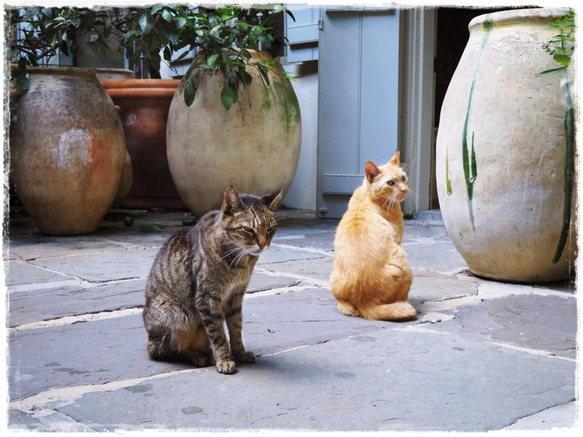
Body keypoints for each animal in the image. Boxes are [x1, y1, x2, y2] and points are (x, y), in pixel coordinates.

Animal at [145, 186, 284, 372]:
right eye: (248, 229)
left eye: (270, 229)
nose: (263, 244)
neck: (240, 261)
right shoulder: (207, 298)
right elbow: (218, 335)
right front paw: (224, 360)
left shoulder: (236, 296)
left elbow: (236, 330)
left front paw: (240, 353)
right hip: (177, 316)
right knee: (166, 350)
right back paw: (197, 356)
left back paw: (206, 353)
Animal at [330, 151, 418, 320]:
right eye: (391, 183)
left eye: (403, 178)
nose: (404, 189)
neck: (368, 197)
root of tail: (365, 302)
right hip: (403, 260)